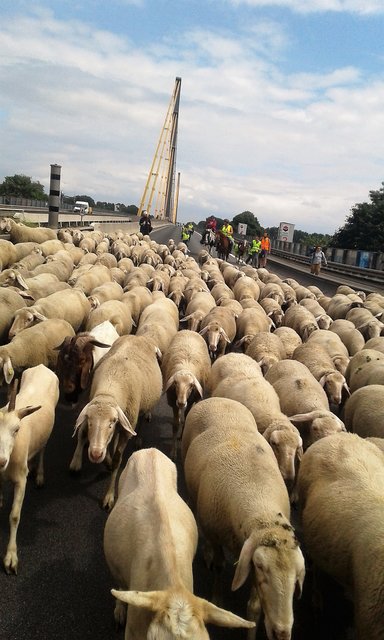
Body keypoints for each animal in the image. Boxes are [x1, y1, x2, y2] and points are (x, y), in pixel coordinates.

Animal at [0, 368, 59, 572]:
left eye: (16, 429)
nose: (1, 460)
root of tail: (42, 367)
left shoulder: (20, 480)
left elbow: (14, 516)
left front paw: (11, 558)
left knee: (43, 448)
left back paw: (39, 474)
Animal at [161, 330, 212, 460]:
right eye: (175, 383)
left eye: (191, 385)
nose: (181, 402)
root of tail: (190, 330)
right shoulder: (173, 402)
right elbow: (175, 425)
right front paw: (173, 451)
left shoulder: (192, 399)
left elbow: (187, 415)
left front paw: (183, 434)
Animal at [183, 398, 306, 636]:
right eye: (261, 566)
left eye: (297, 575)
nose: (282, 632)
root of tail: (217, 399)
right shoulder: (217, 534)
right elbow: (219, 566)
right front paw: (217, 599)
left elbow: (254, 608)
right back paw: (206, 552)